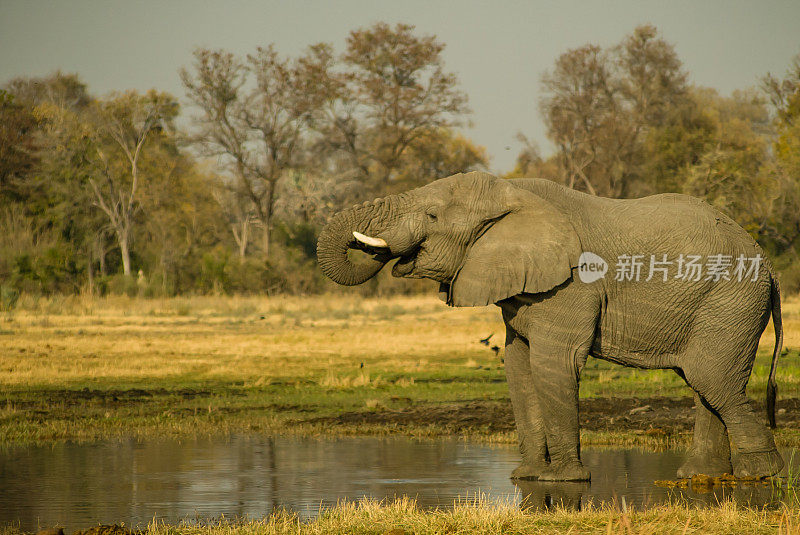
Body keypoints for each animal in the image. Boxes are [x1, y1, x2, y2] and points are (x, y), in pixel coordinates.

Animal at [316, 172, 784, 482]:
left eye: (432, 215)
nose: (376, 250)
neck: (514, 193)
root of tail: (769, 265)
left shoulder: (572, 284)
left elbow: (554, 364)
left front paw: (563, 481)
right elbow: (518, 367)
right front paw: (525, 478)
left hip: (732, 300)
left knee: (713, 380)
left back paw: (761, 475)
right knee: (704, 382)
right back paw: (699, 477)